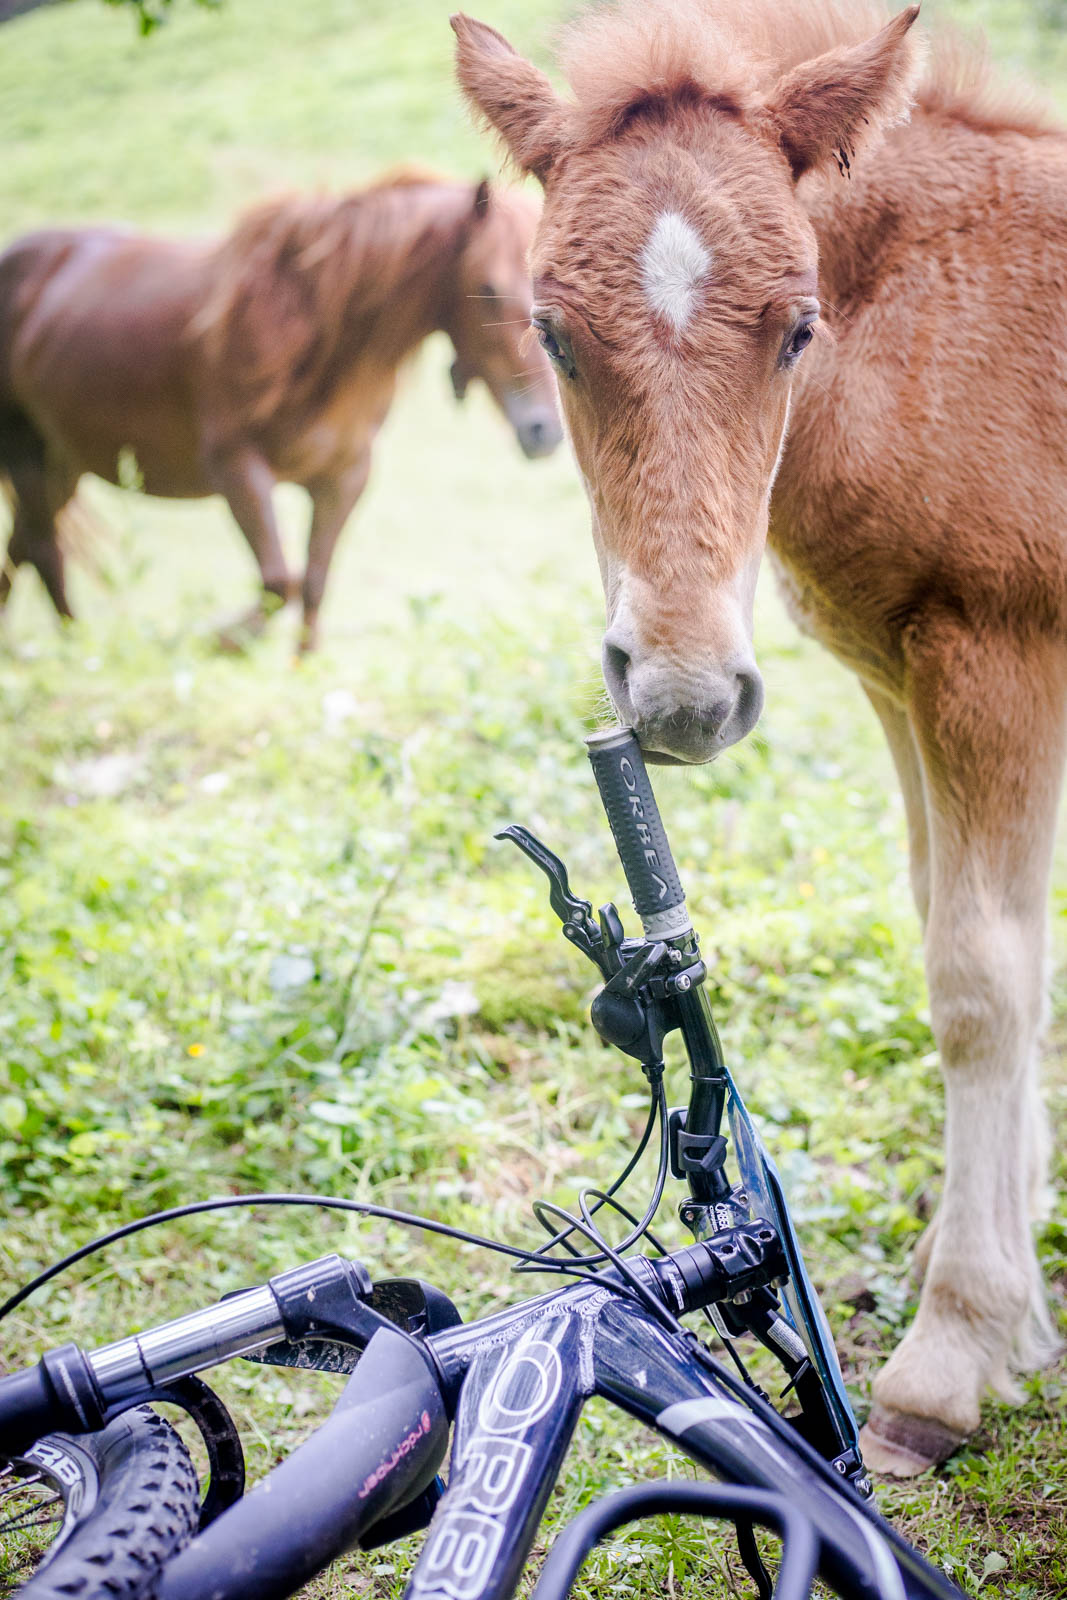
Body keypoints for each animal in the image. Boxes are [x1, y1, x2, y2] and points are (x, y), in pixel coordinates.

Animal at [0, 168, 563, 649]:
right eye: (488, 288)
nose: (545, 431)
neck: (310, 336)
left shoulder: (344, 478)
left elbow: (312, 584)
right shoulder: (238, 472)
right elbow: (278, 584)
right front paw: (221, 640)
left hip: (62, 465)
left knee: (24, 548)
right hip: (27, 453)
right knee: (44, 551)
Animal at [457, 0, 1067, 1472]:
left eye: (796, 329)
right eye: (552, 332)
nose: (678, 693)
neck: (934, 324)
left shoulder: (1000, 655)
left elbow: (983, 978)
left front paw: (950, 1355)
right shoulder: (900, 674)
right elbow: (956, 927)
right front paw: (994, 1288)